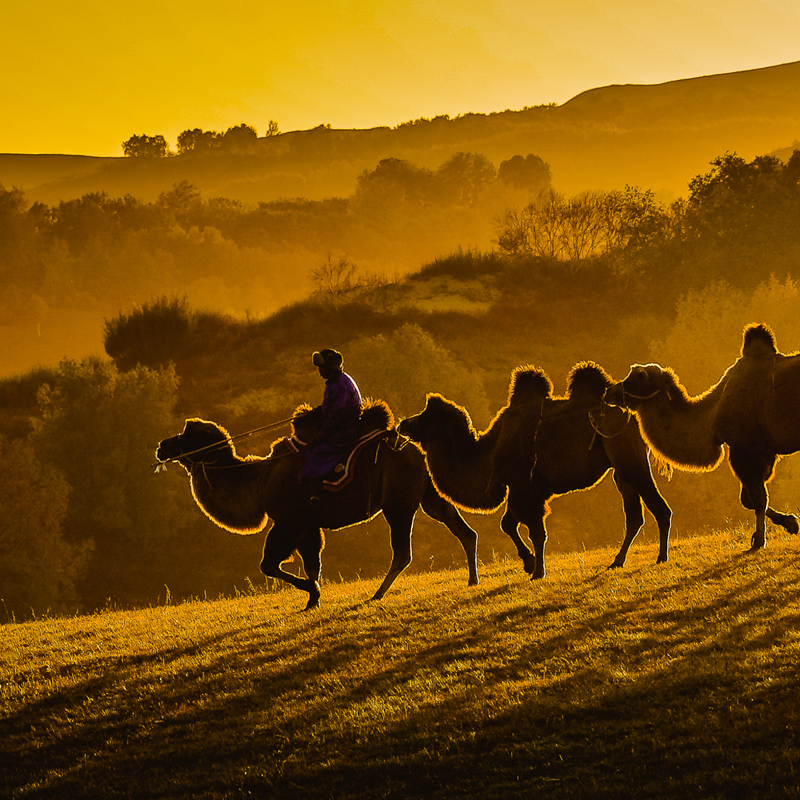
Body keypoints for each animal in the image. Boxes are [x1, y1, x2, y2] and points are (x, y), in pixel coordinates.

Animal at [159, 404, 478, 608]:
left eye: (186, 435)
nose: (162, 446)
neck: (259, 480)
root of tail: (417, 448)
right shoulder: (309, 527)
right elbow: (313, 563)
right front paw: (314, 599)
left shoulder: (289, 522)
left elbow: (269, 564)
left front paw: (312, 592)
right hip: (429, 495)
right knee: (463, 530)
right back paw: (472, 579)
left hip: (398, 502)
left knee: (403, 552)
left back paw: (377, 594)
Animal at [396, 364, 672, 580]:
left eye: (424, 416)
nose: (402, 423)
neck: (490, 452)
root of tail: (634, 411)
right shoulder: (522, 488)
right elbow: (508, 524)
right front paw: (529, 564)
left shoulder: (525, 487)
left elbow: (536, 532)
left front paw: (538, 571)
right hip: (620, 468)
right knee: (634, 515)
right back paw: (617, 561)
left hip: (629, 460)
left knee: (660, 508)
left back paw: (661, 557)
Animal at [608, 320, 800, 552]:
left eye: (637, 378)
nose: (610, 392)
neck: (712, 417)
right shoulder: (764, 451)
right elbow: (748, 499)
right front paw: (790, 522)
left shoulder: (747, 448)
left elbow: (757, 497)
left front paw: (759, 540)